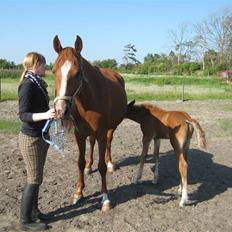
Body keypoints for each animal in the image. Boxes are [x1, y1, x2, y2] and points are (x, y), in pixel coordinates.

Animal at [52, 35, 127, 211]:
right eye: (53, 70)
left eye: (78, 72)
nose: (61, 110)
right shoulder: (79, 134)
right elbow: (79, 163)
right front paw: (79, 193)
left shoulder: (101, 133)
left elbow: (102, 166)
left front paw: (105, 198)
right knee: (91, 144)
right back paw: (88, 167)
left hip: (111, 128)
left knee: (109, 143)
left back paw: (111, 163)